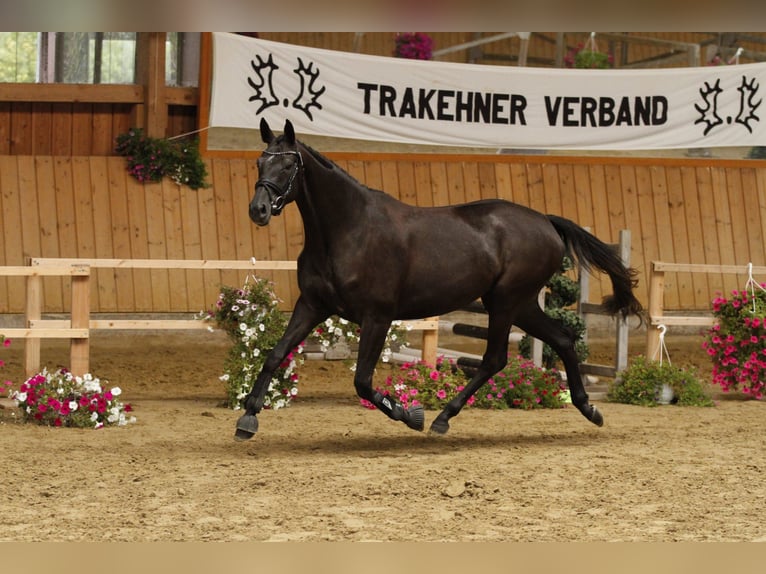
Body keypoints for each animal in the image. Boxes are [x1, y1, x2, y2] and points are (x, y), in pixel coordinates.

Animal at [237, 117, 644, 440]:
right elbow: (275, 355)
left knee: (495, 358)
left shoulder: (377, 317)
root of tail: (545, 221)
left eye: (288, 165)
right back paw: (589, 409)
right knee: (561, 340)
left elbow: (363, 381)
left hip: (507, 302)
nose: (258, 210)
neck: (347, 230)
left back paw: (443, 418)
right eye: (259, 161)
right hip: (520, 304)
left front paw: (411, 415)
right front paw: (248, 417)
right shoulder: (312, 305)